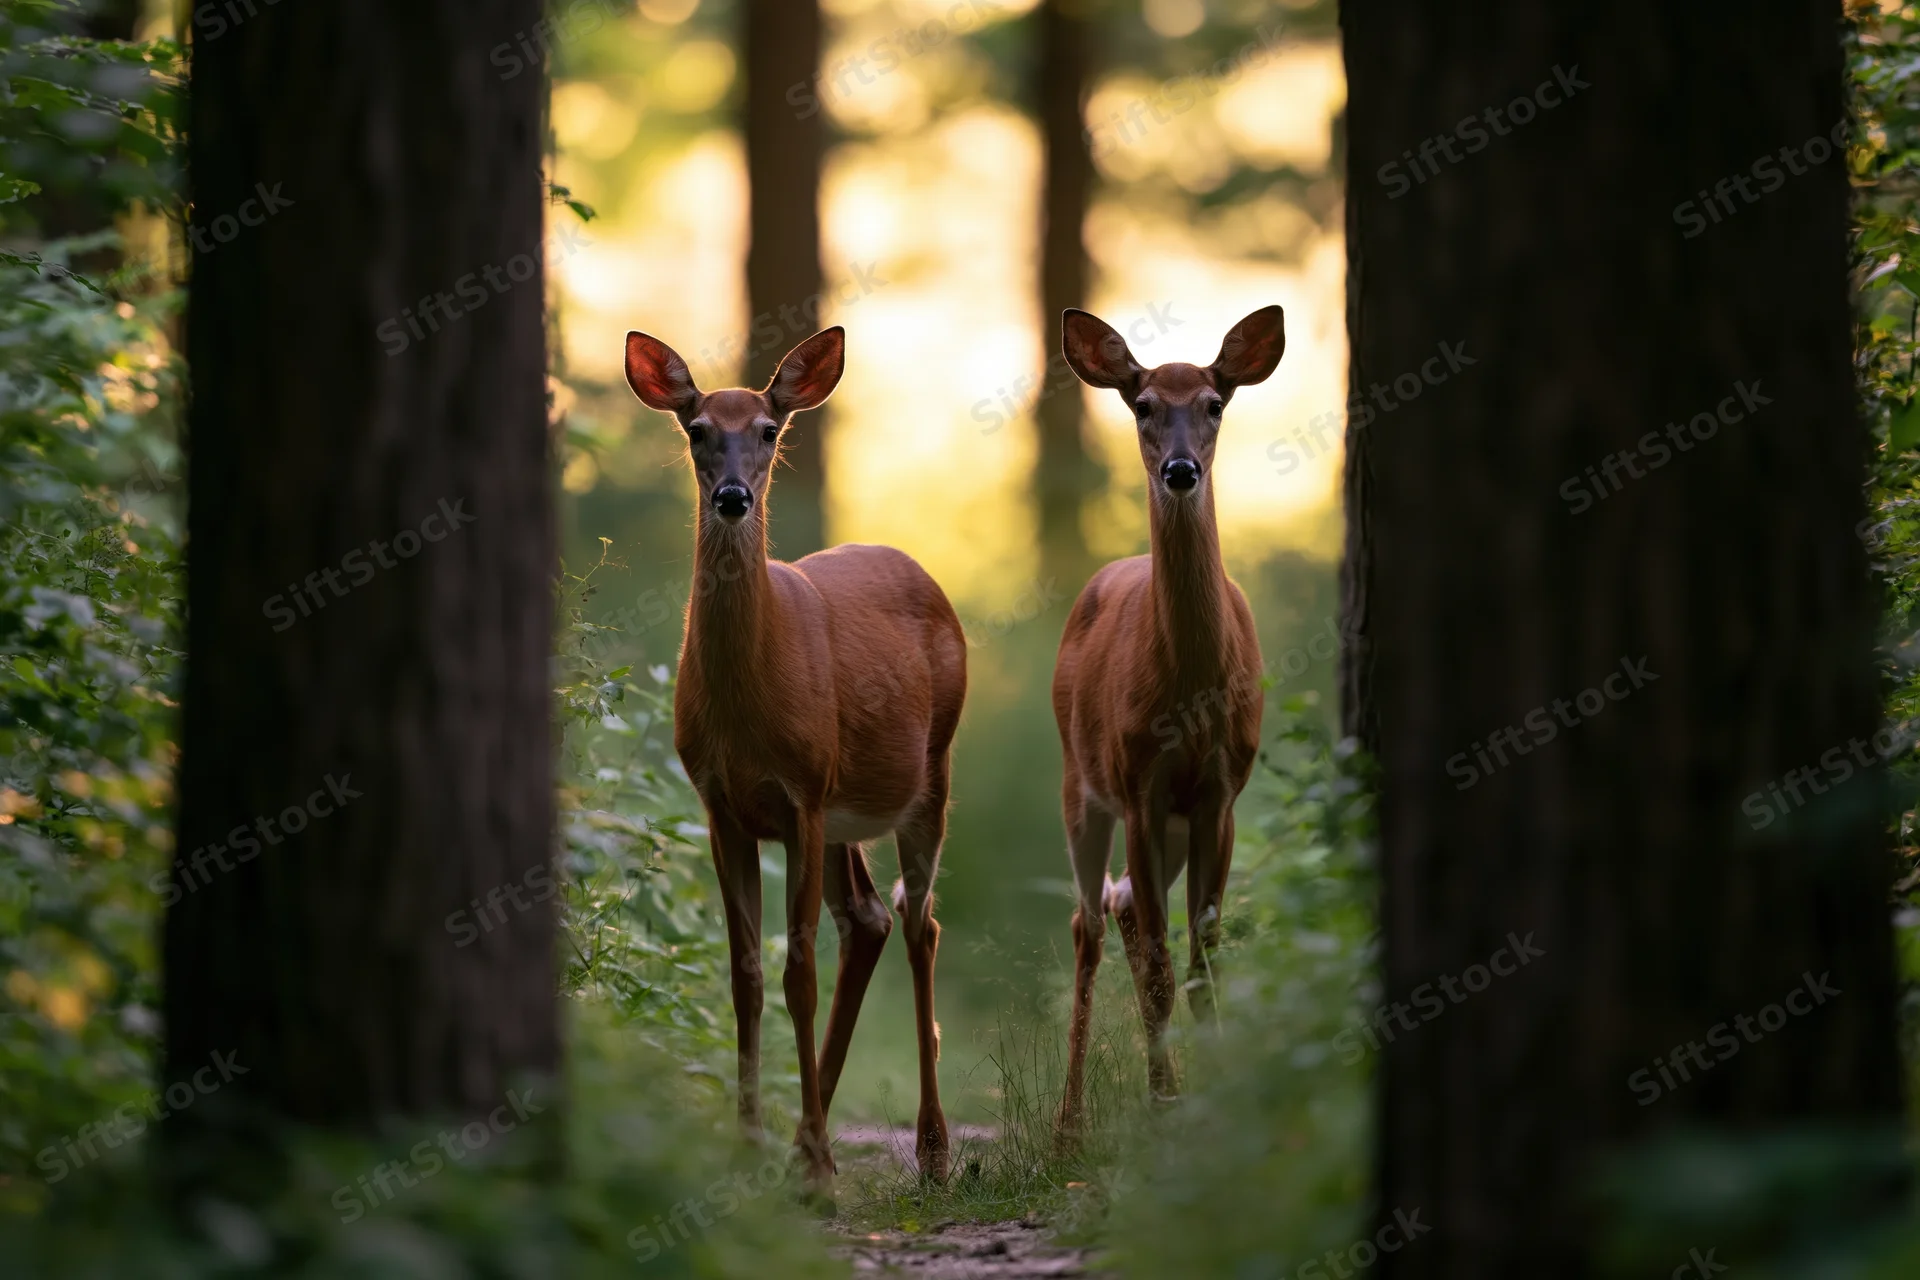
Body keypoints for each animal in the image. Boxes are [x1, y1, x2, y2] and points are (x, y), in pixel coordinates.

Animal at [622, 325, 966, 1196]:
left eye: (769, 431)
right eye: (696, 429)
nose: (733, 497)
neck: (747, 707)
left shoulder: (802, 795)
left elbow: (798, 975)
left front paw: (815, 1167)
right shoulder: (725, 804)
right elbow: (746, 974)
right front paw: (753, 1145)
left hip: (930, 770)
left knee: (919, 923)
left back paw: (931, 1149)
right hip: (845, 811)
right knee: (869, 918)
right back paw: (808, 1142)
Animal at [1049, 305, 1284, 1140]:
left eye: (1214, 404)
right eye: (1143, 405)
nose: (1180, 470)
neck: (1188, 689)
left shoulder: (1220, 794)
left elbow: (1202, 959)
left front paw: (1211, 1098)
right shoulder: (1140, 788)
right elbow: (1155, 965)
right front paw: (1166, 1103)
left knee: (1118, 904)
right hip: (1080, 782)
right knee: (1089, 921)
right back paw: (1069, 1125)